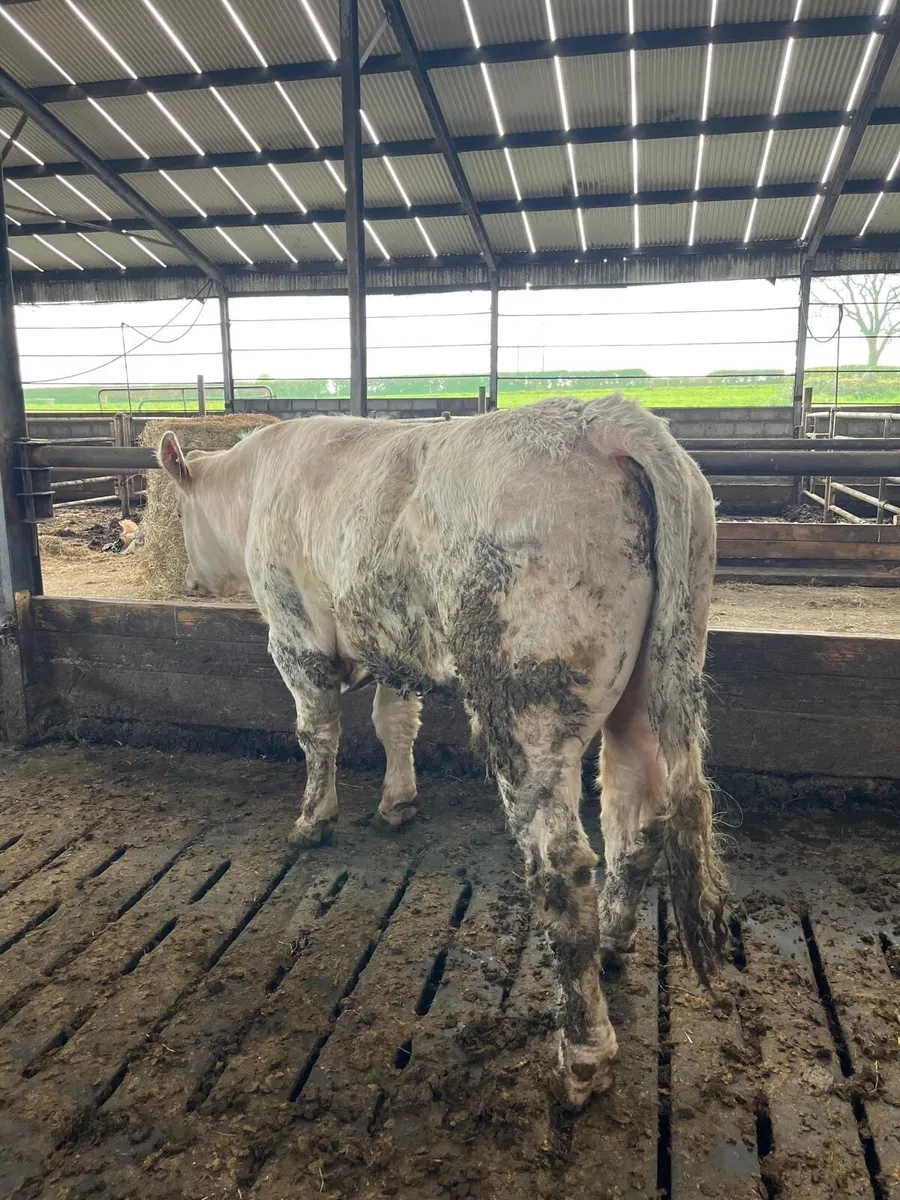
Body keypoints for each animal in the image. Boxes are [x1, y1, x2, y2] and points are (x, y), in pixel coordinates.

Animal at [158, 394, 728, 1110]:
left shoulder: (295, 631)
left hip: (528, 703)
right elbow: (396, 721)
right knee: (636, 816)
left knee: (562, 863)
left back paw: (582, 1053)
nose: (186, 577)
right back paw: (614, 945)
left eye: (177, 512)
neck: (258, 484)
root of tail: (603, 418)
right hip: (654, 684)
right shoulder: (392, 643)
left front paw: (312, 821)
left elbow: (317, 731)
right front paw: (397, 804)